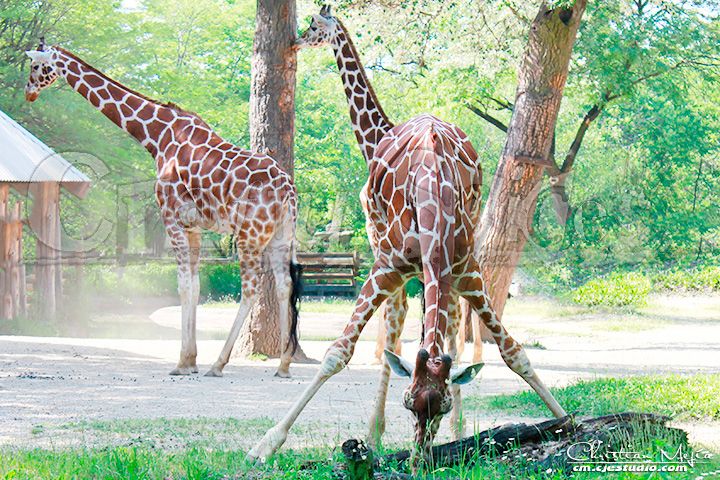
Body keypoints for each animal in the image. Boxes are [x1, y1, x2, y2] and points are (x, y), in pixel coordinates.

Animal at [24, 41, 302, 378]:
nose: (28, 92)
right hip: (280, 236)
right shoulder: (193, 226)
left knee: (251, 289)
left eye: (35, 66)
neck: (156, 136)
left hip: (250, 235)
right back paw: (284, 365)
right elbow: (195, 286)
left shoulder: (171, 217)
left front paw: (182, 362)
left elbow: (183, 286)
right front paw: (190, 359)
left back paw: (219, 364)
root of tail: (288, 193)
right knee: (284, 285)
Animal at [249, 8, 566, 470]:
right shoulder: (390, 267)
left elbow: (513, 351)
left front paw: (566, 420)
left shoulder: (461, 270)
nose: (295, 40)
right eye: (408, 402)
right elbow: (345, 351)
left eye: (311, 26)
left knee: (447, 330)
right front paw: (268, 443)